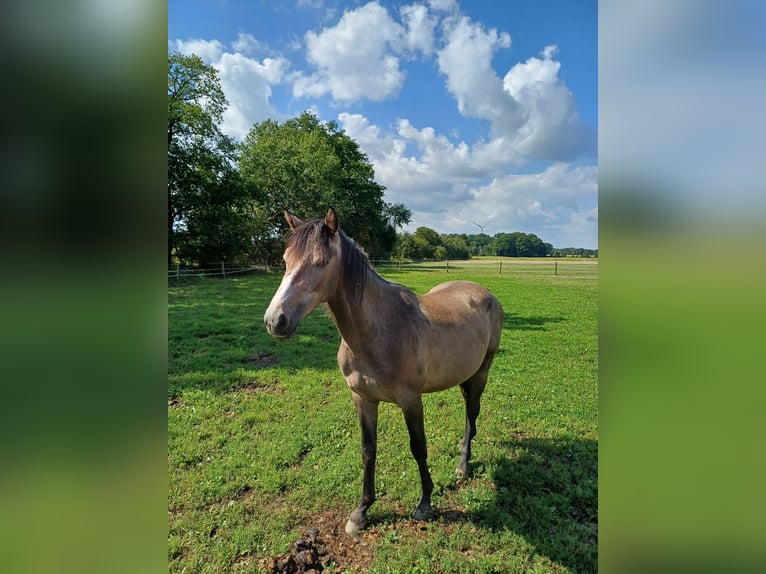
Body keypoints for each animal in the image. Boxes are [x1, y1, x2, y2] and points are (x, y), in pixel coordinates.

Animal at [264, 209, 504, 536]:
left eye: (321, 262)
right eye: (286, 259)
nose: (275, 320)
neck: (377, 331)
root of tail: (484, 292)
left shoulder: (411, 401)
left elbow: (418, 447)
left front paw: (425, 503)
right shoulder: (363, 399)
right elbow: (368, 451)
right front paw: (361, 512)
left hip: (482, 371)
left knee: (472, 411)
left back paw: (463, 464)